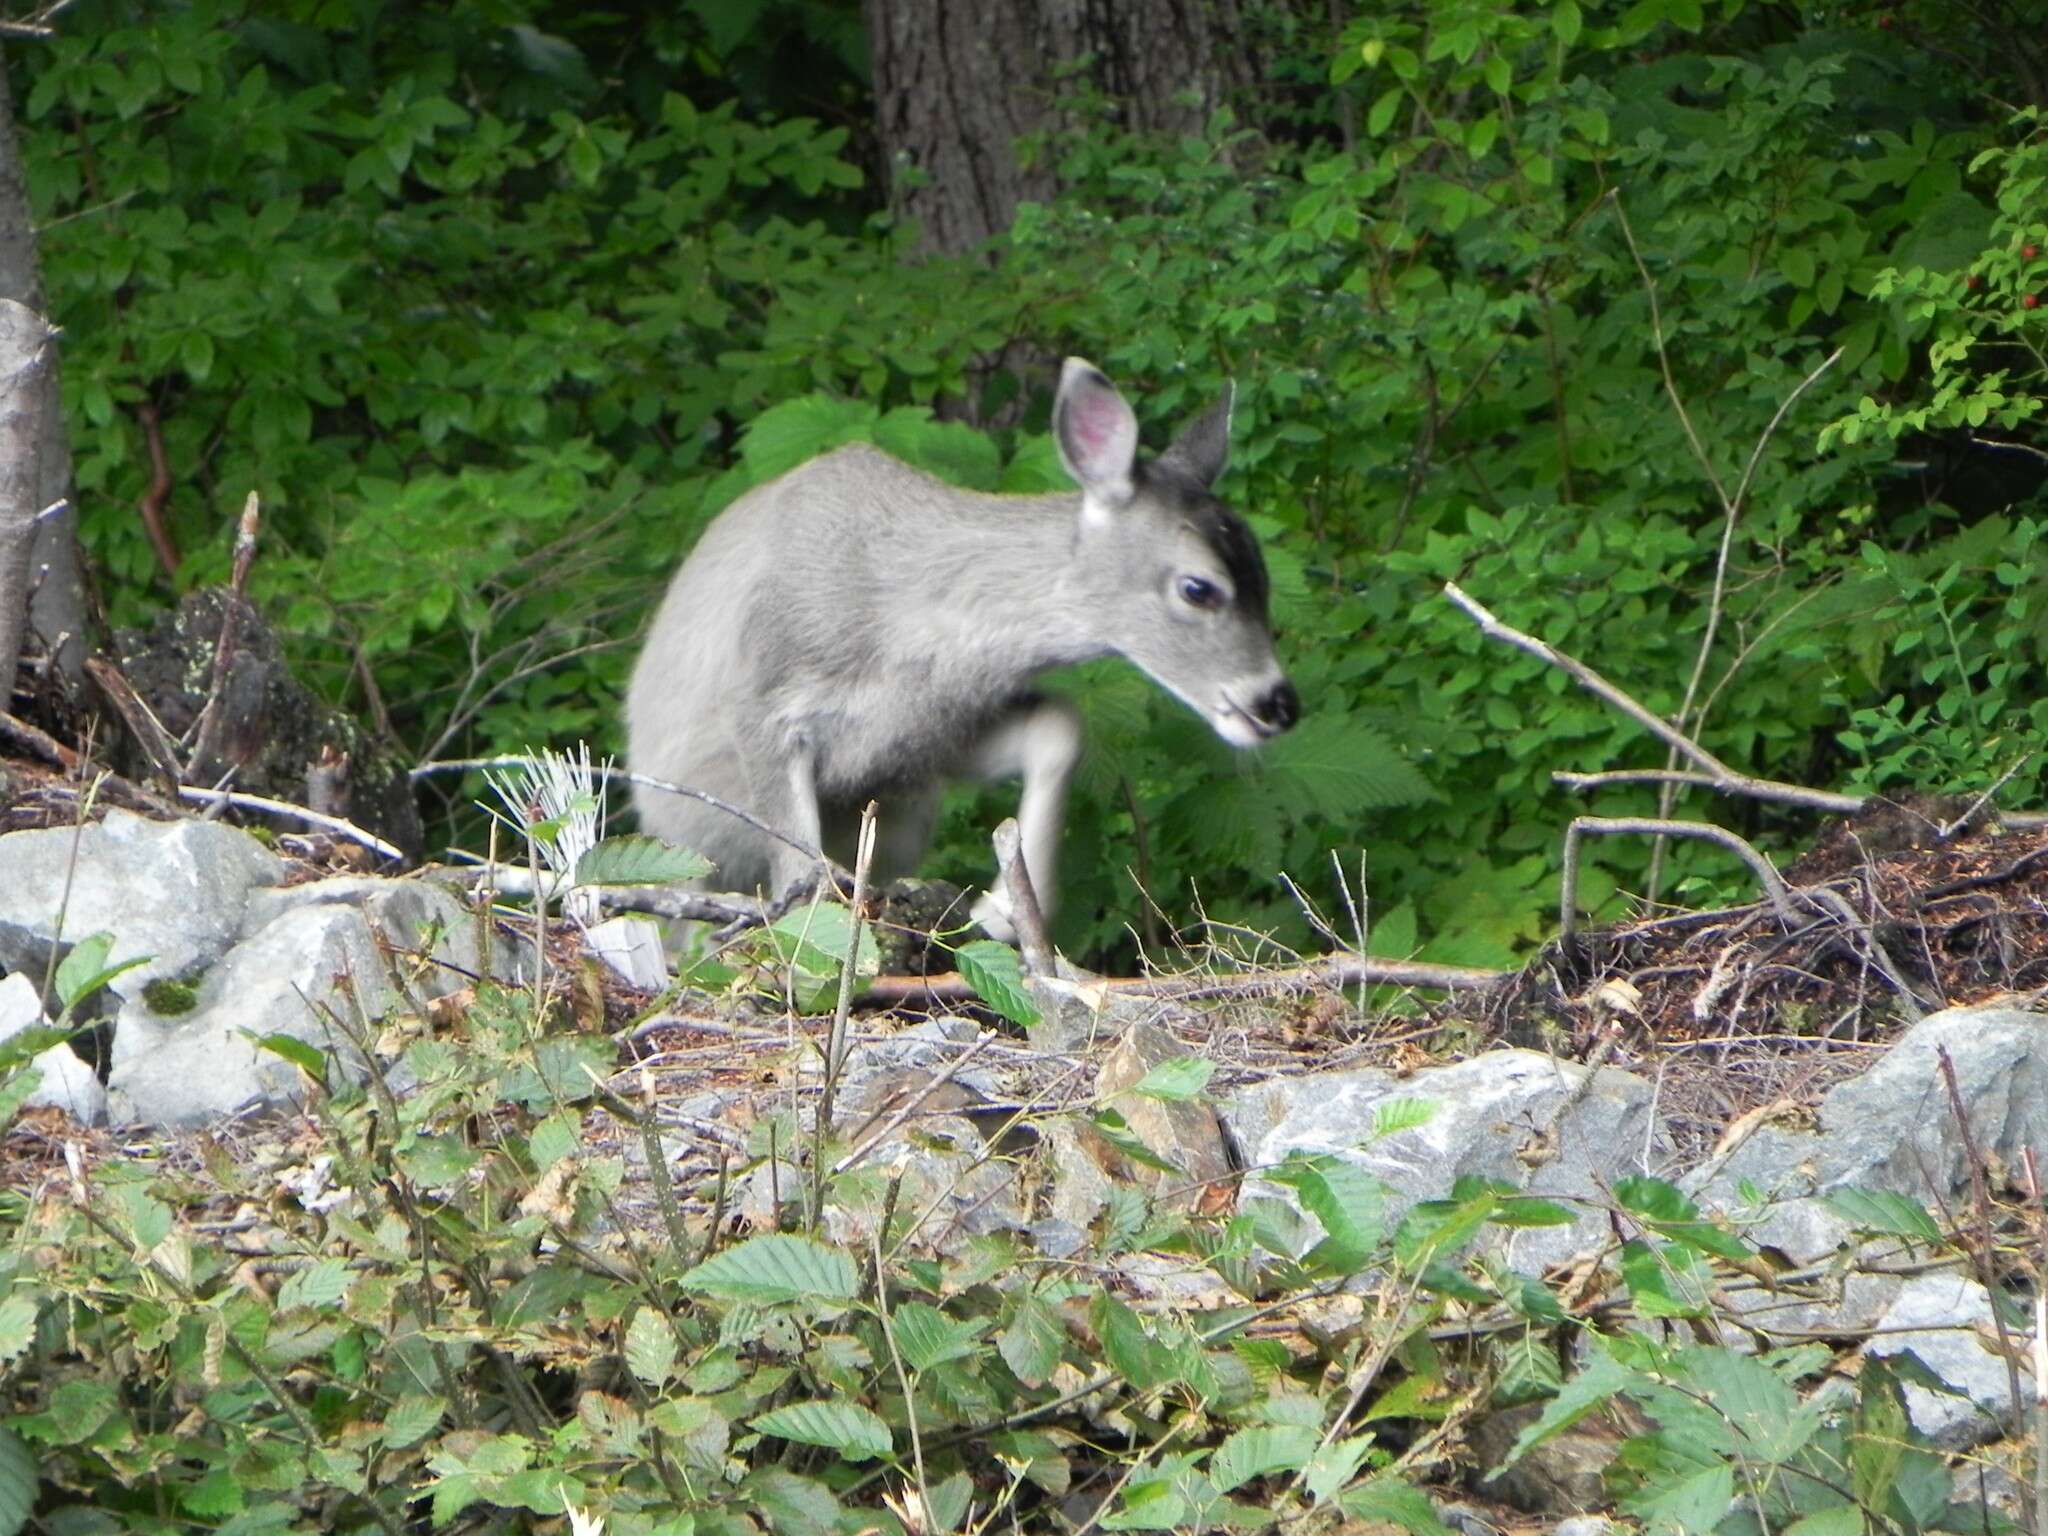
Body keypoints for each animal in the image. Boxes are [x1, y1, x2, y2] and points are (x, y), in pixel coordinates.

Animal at [618, 358, 1294, 937]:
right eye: (1199, 587)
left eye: (1266, 575)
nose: (1279, 703)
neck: (905, 624)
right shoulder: (763, 700)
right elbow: (801, 871)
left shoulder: (923, 745)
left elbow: (1060, 725)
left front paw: (1006, 909)